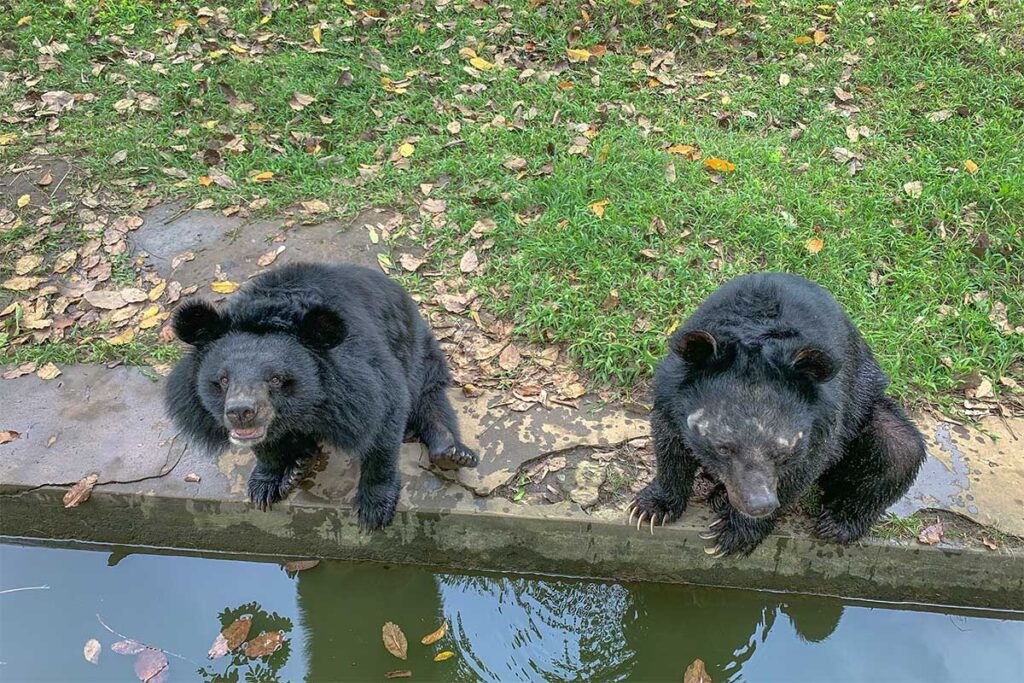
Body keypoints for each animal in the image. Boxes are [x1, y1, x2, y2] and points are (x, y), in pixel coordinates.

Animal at [165, 261, 479, 530]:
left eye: (276, 379)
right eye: (223, 380)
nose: (240, 412)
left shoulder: (363, 379)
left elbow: (384, 419)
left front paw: (374, 508)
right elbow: (263, 448)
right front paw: (265, 485)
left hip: (416, 346)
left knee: (428, 395)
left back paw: (453, 453)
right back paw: (299, 462)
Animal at [627, 272, 926, 556]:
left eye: (782, 452)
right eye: (723, 447)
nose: (759, 504)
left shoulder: (824, 422)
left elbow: (800, 472)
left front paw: (733, 533)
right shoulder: (670, 393)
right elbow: (670, 446)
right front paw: (649, 510)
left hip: (863, 405)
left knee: (898, 447)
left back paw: (838, 523)